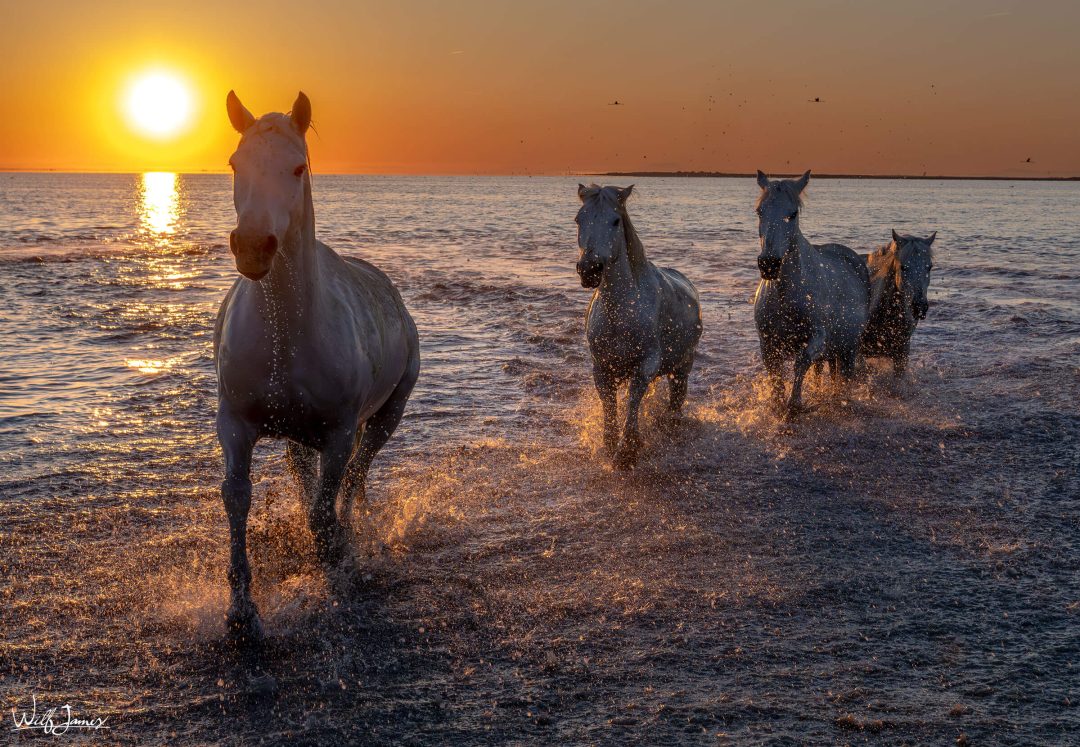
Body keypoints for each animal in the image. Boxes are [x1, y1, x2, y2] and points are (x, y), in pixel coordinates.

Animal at [215, 91, 420, 642]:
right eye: (235, 163)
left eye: (298, 166)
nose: (253, 247)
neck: (285, 333)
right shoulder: (235, 425)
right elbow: (237, 499)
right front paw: (242, 614)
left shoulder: (339, 432)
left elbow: (327, 509)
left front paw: (338, 567)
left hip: (387, 416)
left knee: (356, 475)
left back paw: (353, 533)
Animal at [575, 184, 702, 469]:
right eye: (579, 219)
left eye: (615, 220)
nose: (589, 270)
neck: (622, 310)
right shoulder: (602, 367)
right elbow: (609, 404)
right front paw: (611, 443)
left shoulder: (646, 364)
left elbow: (634, 398)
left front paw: (628, 451)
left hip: (682, 365)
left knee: (677, 397)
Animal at [753, 170, 870, 420]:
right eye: (759, 211)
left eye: (793, 214)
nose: (769, 264)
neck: (785, 296)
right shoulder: (767, 344)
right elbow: (776, 380)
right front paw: (778, 405)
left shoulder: (816, 338)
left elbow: (800, 364)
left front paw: (795, 405)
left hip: (848, 347)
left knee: (845, 377)